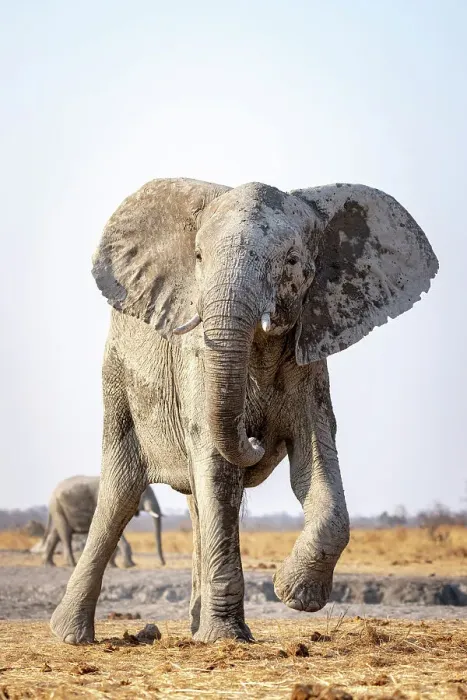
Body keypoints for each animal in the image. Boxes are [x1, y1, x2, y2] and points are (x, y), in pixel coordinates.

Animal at [50, 177, 437, 645]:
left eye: (292, 261)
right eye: (199, 257)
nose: (253, 437)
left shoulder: (310, 361)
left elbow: (314, 465)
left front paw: (292, 593)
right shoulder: (197, 359)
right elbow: (218, 469)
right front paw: (225, 638)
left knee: (196, 504)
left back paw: (192, 626)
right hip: (117, 378)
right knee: (120, 494)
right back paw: (71, 635)